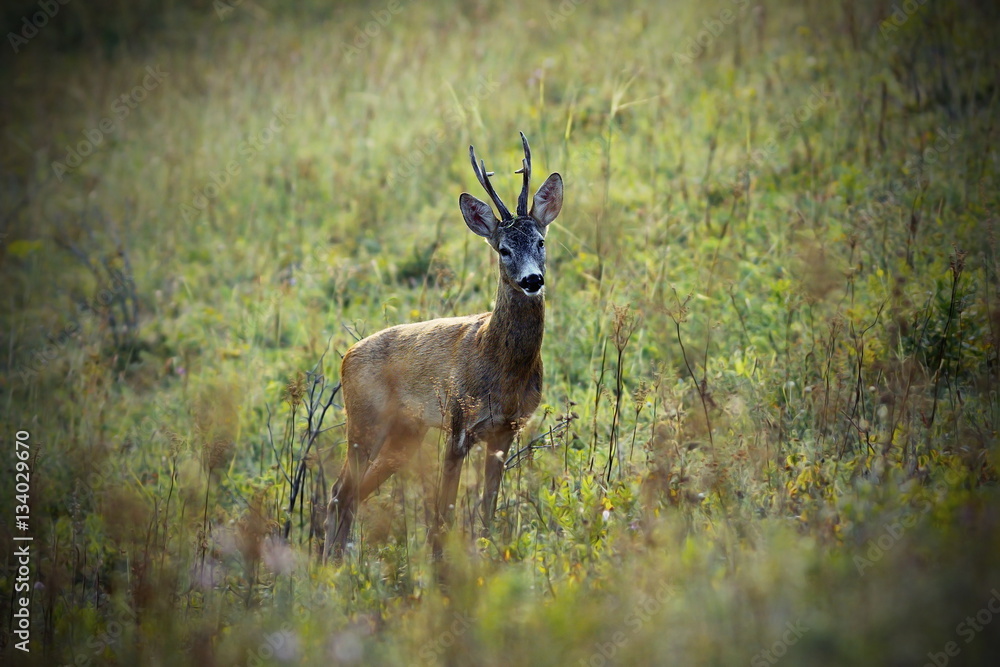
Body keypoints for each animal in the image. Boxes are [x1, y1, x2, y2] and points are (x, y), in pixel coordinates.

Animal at [323, 133, 563, 562]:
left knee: (350, 493)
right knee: (340, 493)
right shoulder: (458, 424)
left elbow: (486, 511)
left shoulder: (506, 429)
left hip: (405, 432)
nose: (532, 280)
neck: (500, 365)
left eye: (540, 241)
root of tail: (346, 356)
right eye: (503, 249)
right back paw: (331, 566)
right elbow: (443, 513)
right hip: (364, 421)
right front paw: (442, 566)